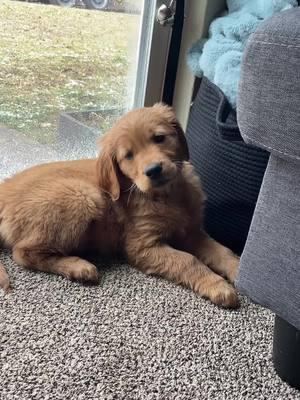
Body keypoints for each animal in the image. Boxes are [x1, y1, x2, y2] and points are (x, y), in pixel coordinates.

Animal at [0, 104, 239, 308]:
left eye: (159, 138)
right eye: (129, 156)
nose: (153, 170)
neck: (167, 196)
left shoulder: (191, 231)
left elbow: (221, 250)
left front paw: (238, 269)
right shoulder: (141, 246)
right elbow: (187, 260)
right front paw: (217, 286)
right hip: (83, 195)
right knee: (22, 253)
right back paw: (79, 267)